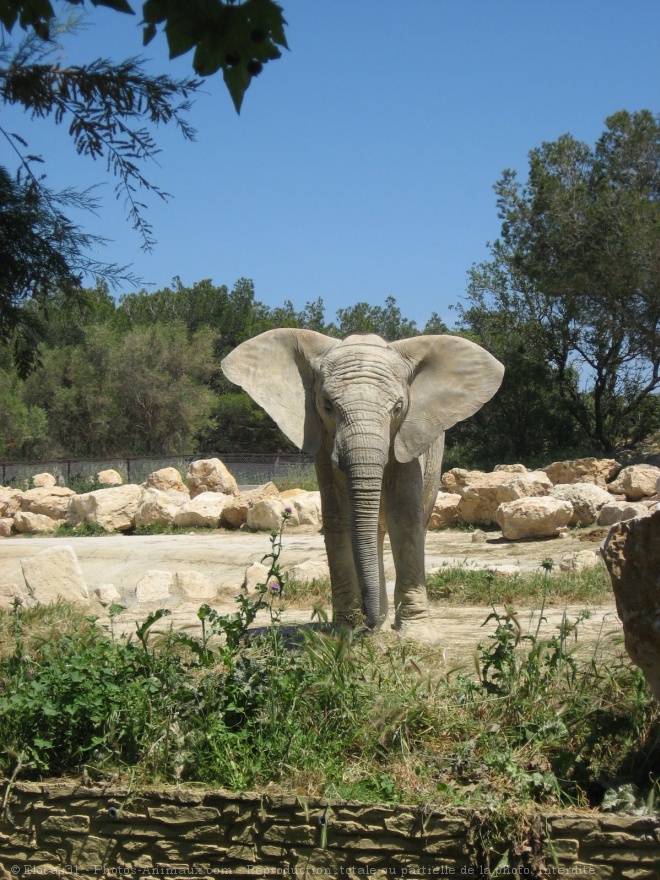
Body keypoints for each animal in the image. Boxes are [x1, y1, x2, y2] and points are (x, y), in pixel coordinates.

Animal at [222, 330, 506, 632]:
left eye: (398, 408)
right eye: (327, 406)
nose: (367, 623)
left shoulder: (409, 442)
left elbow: (405, 518)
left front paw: (416, 636)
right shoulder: (324, 444)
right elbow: (338, 518)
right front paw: (348, 632)